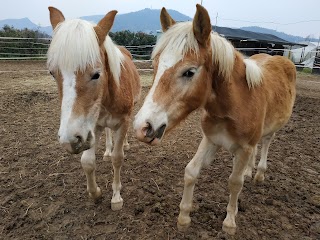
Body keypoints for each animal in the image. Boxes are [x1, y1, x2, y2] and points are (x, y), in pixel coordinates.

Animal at [47, 7, 141, 210]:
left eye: (96, 74)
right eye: (52, 73)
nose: (70, 140)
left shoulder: (123, 122)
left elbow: (118, 158)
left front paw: (116, 197)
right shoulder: (92, 126)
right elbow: (87, 162)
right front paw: (95, 193)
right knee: (107, 133)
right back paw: (106, 151)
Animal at [132, 4, 296, 236]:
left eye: (189, 72)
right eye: (155, 66)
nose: (142, 126)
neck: (236, 104)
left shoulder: (244, 148)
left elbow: (234, 183)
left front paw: (229, 222)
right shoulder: (211, 140)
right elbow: (191, 171)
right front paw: (184, 217)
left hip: (271, 131)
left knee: (265, 144)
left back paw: (259, 174)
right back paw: (249, 171)